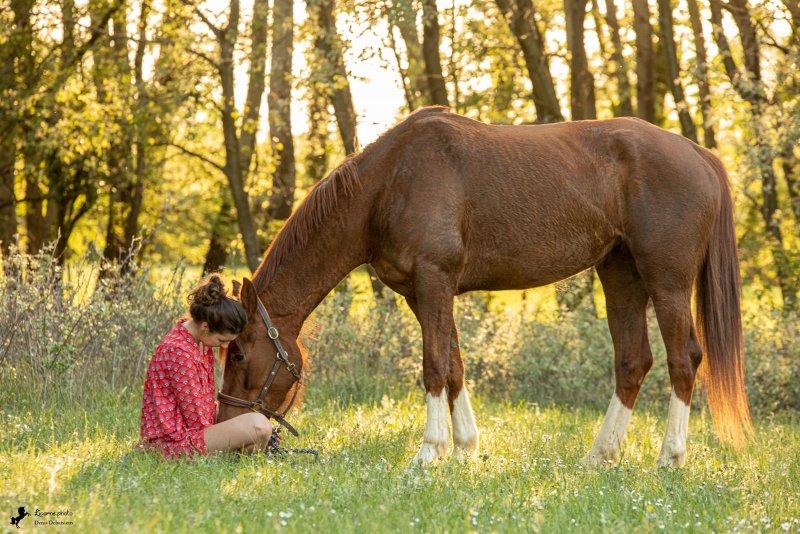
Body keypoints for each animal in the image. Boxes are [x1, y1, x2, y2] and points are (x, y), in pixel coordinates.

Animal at [216, 106, 753, 467]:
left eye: (238, 353)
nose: (225, 430)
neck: (389, 183)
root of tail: (699, 154)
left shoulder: (434, 279)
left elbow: (434, 365)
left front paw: (429, 453)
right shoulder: (422, 292)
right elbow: (453, 364)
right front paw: (464, 449)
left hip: (667, 281)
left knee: (684, 359)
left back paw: (670, 457)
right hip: (620, 275)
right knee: (632, 362)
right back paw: (599, 456)